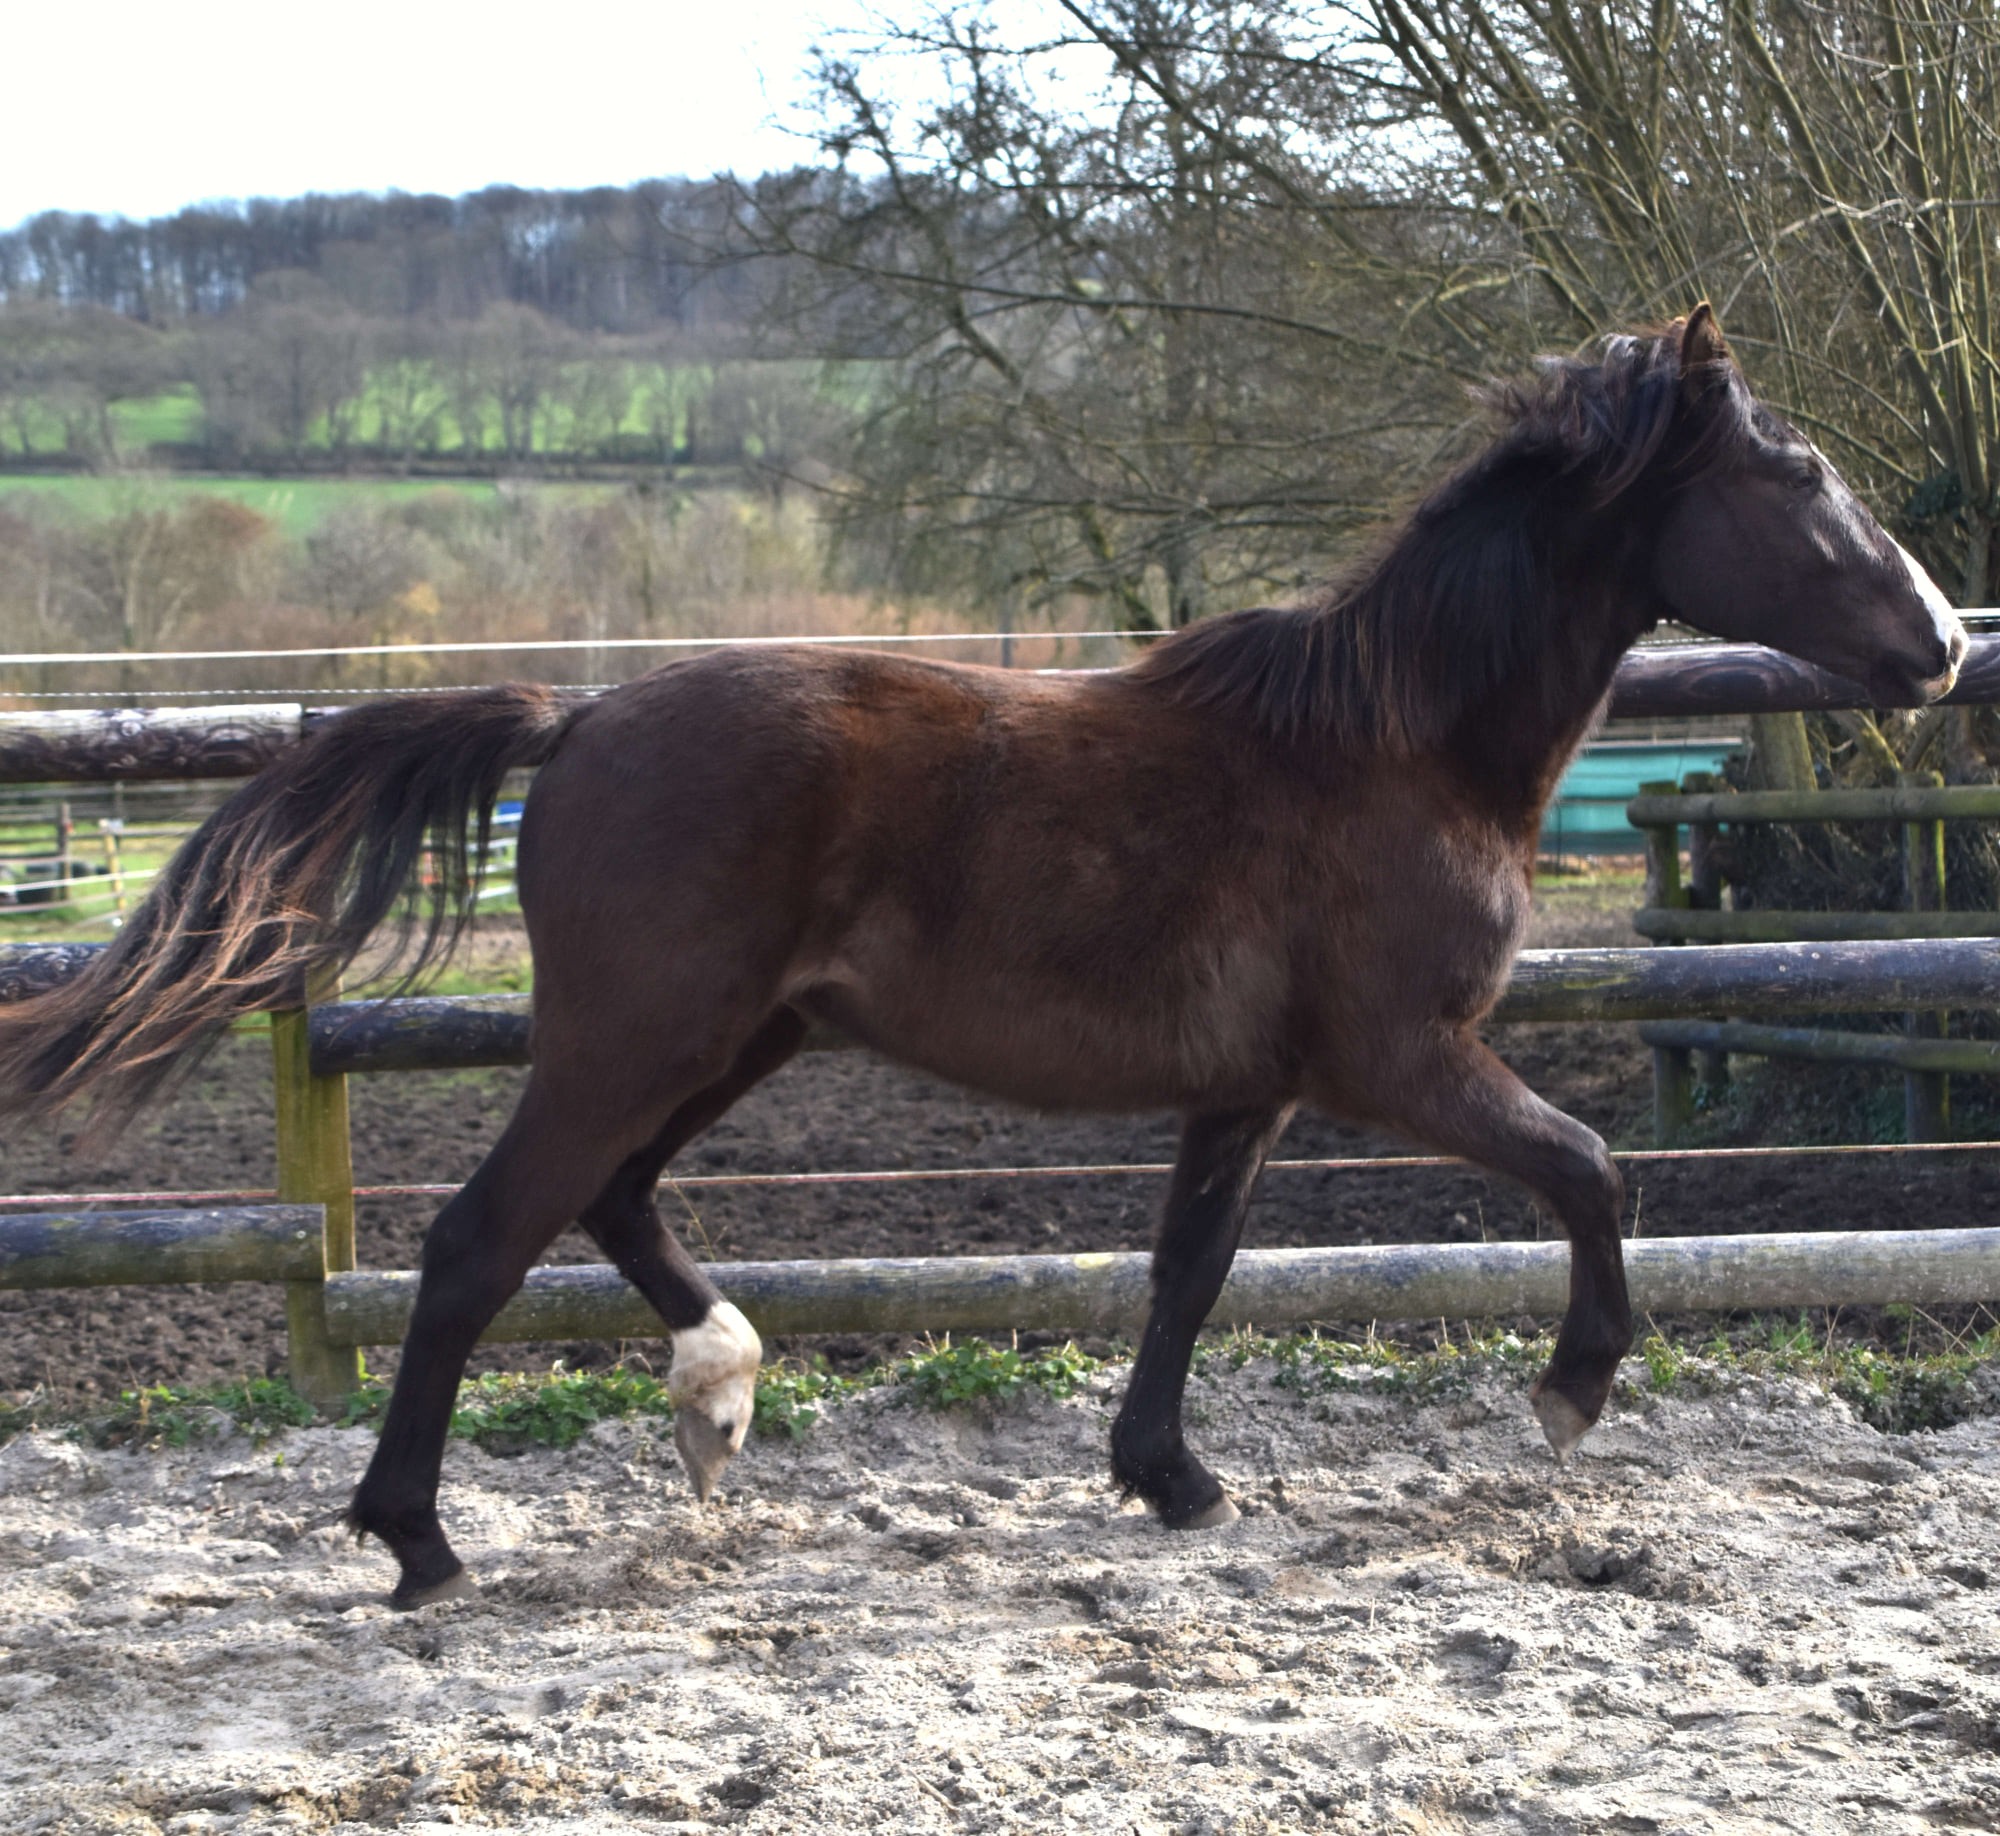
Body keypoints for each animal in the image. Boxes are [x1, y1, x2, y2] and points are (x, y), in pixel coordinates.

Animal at [0, 306, 1965, 1608]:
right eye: (1795, 470)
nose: (1941, 641)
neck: (1395, 745)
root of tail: (581, 719)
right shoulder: (1397, 1058)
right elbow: (1595, 1168)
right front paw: (1567, 1394)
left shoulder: (1249, 1090)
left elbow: (1188, 1273)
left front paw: (1172, 1481)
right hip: (642, 1036)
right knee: (483, 1242)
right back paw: (421, 1541)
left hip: (738, 1039)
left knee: (614, 1203)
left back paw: (719, 1392)